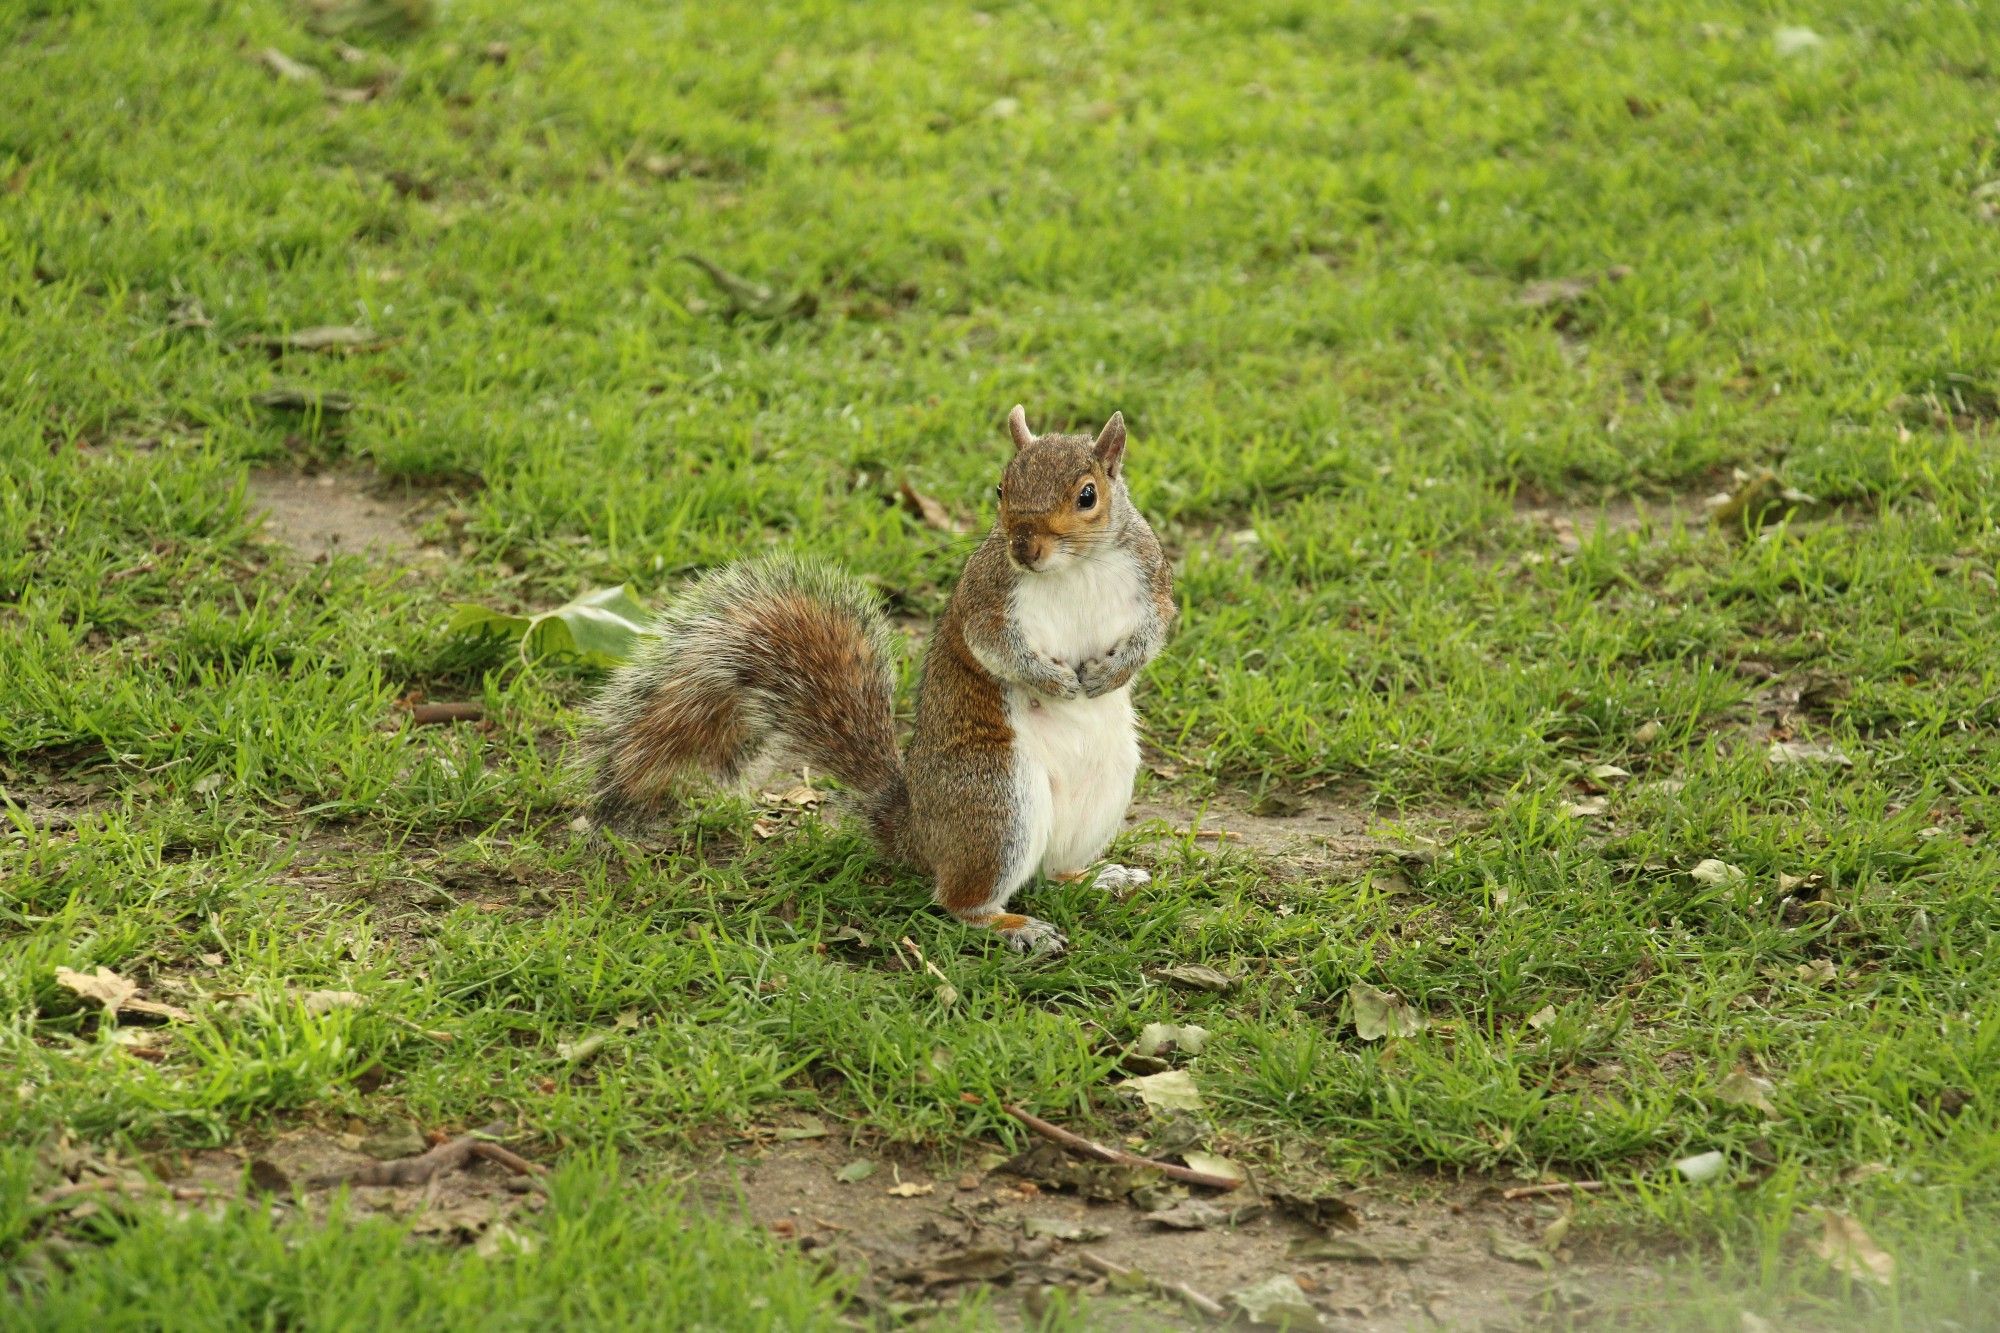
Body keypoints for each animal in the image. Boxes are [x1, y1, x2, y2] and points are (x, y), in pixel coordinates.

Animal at [580, 400, 1168, 948]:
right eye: (1001, 488)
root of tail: (921, 835)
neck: (1075, 566)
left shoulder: (1152, 580)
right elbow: (996, 646)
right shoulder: (987, 598)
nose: (1025, 548)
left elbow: (1154, 632)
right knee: (960, 899)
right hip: (997, 798)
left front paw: (1110, 674)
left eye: (1087, 496)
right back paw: (1013, 925)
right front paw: (1055, 681)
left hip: (1102, 790)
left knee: (1052, 870)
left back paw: (1097, 878)